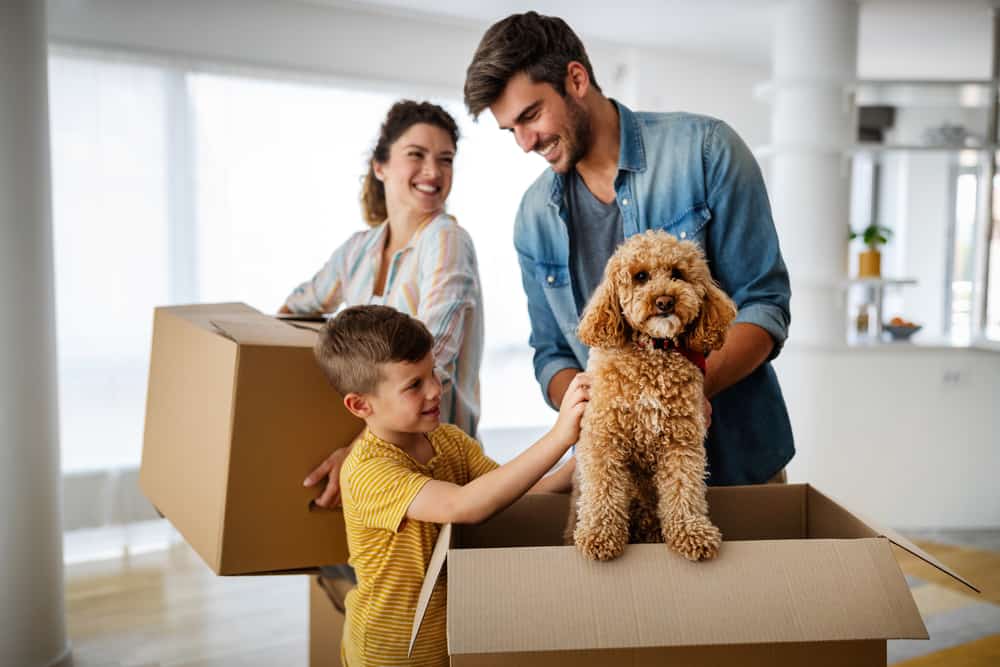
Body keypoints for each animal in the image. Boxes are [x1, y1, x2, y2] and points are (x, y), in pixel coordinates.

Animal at [572, 230, 736, 564]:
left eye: (677, 274)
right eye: (640, 277)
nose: (664, 301)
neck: (653, 351)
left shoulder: (681, 441)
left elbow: (683, 488)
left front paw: (691, 532)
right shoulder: (604, 437)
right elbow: (602, 488)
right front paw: (599, 535)